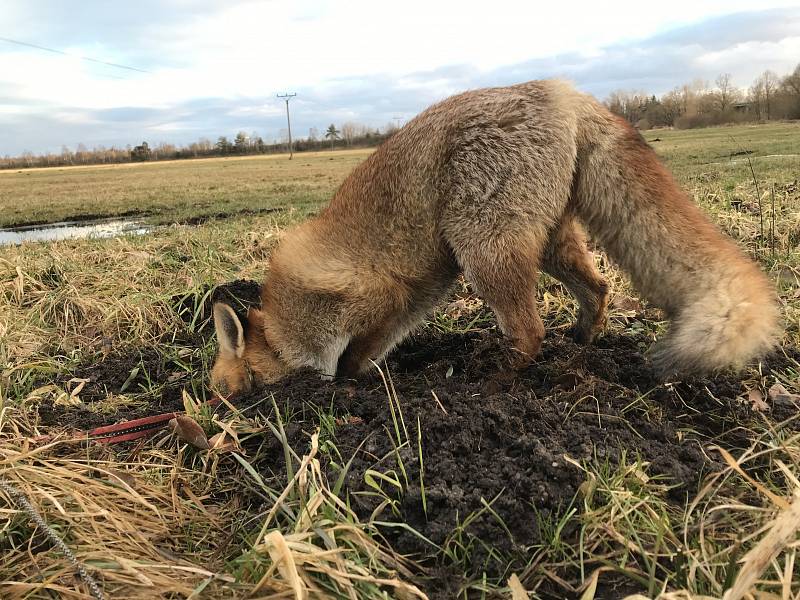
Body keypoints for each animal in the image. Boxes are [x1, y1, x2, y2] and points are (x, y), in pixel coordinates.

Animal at [209, 81, 780, 398]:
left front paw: (348, 390)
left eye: (222, 387)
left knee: (530, 332)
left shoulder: (379, 298)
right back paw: (583, 344)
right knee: (598, 289)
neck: (285, 324)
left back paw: (494, 385)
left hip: (486, 251)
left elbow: (349, 360)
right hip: (549, 244)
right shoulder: (414, 297)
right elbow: (372, 351)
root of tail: (560, 89)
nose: (217, 414)